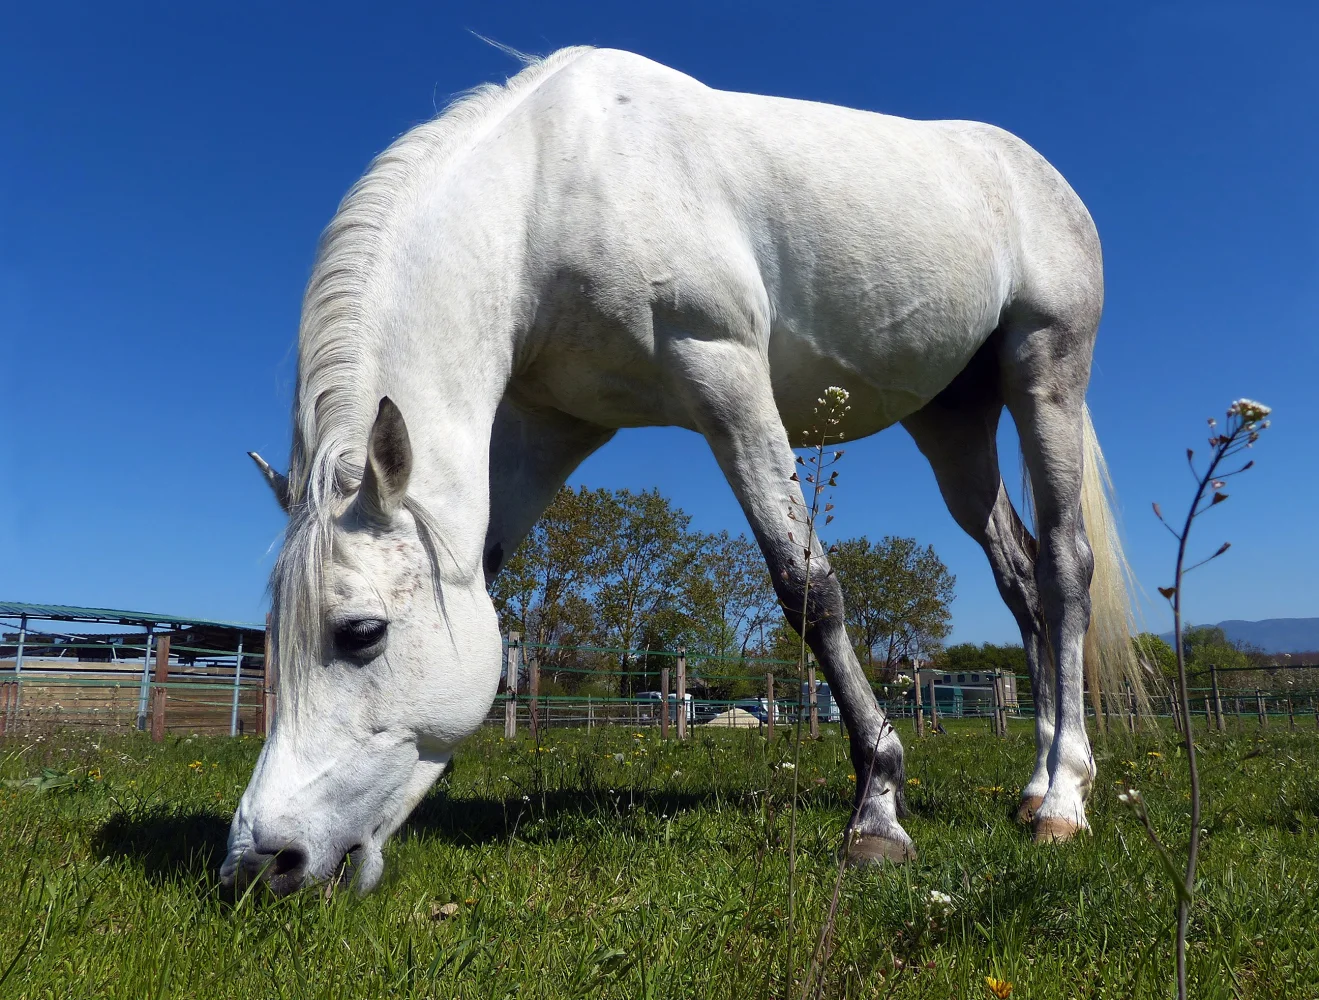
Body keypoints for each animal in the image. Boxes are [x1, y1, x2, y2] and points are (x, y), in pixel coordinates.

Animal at [222, 46, 1146, 895]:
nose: (261, 861)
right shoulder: (551, 427)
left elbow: (808, 589)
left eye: (361, 633)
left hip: (1045, 372)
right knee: (1019, 576)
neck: (548, 190)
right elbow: (481, 571)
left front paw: (878, 811)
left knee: (1064, 567)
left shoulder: (723, 375)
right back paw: (1032, 782)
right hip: (952, 423)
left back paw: (1063, 797)